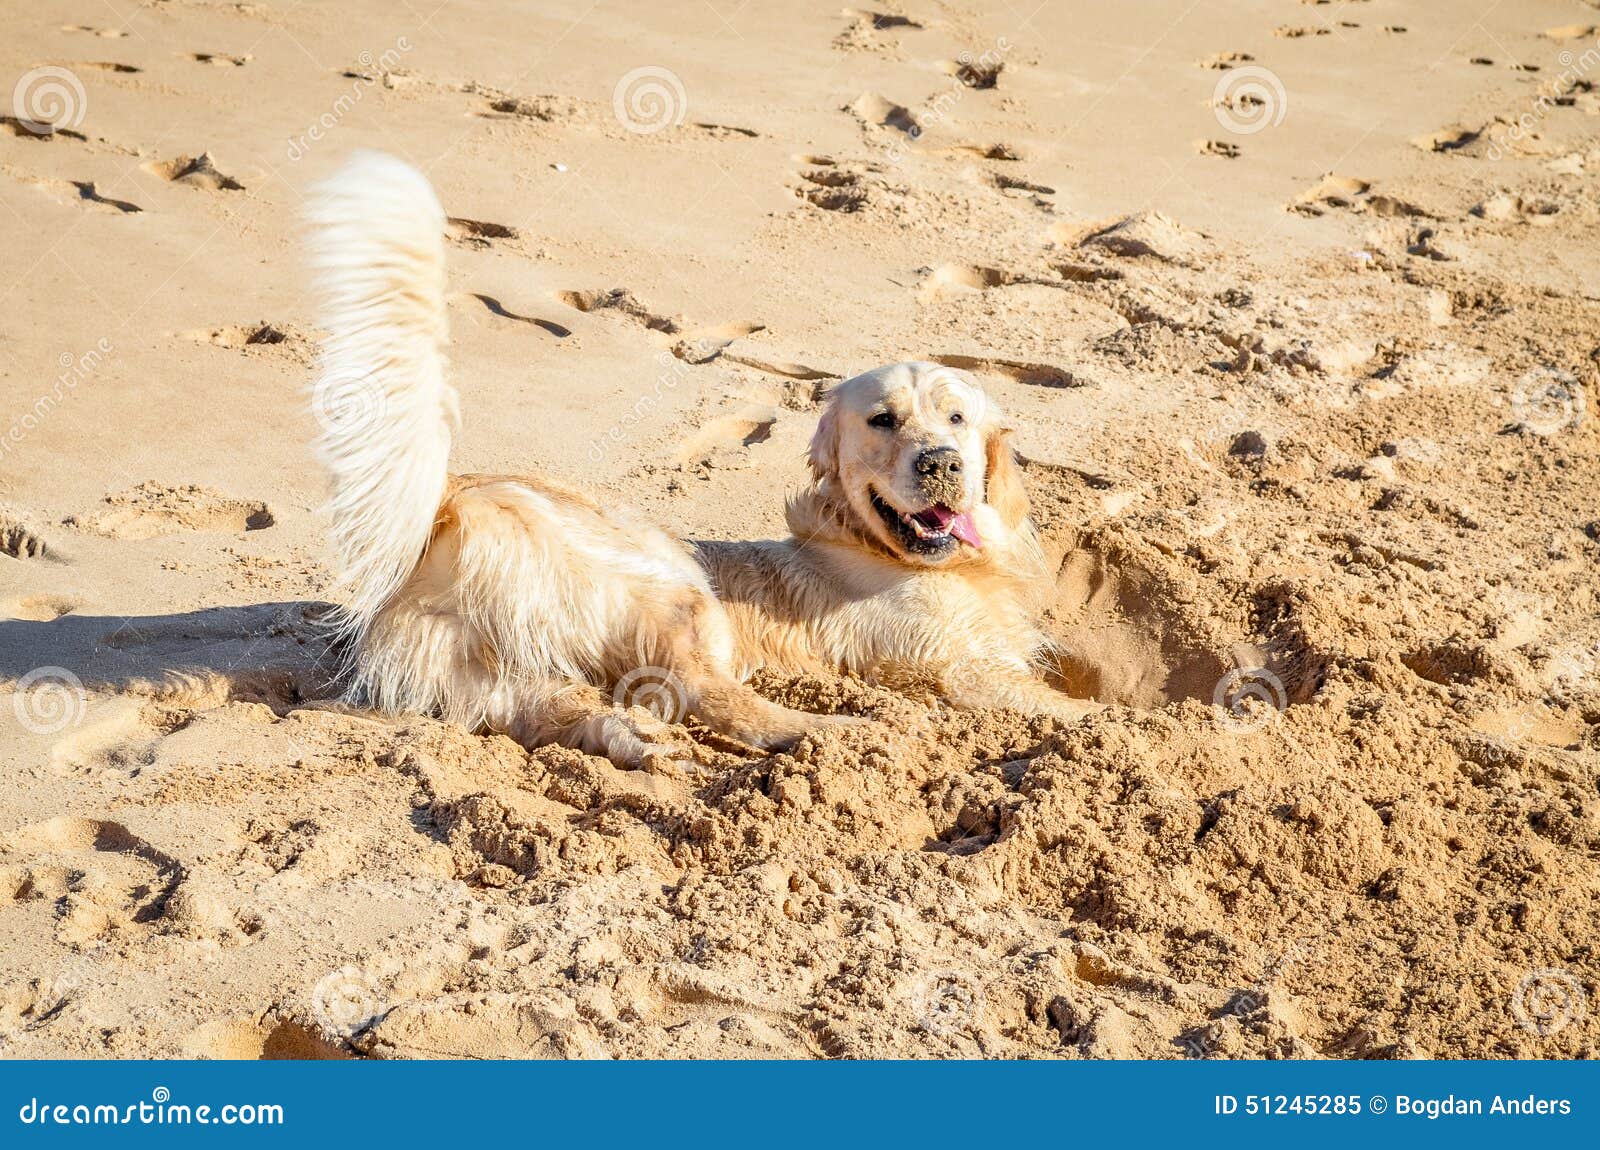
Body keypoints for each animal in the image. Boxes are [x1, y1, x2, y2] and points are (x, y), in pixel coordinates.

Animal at [302, 150, 1088, 764]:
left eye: (957, 418)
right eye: (883, 420)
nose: (940, 463)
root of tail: (447, 500)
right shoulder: (957, 670)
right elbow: (1088, 711)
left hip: (501, 675)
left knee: (597, 711)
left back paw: (644, 747)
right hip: (672, 584)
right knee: (708, 691)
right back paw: (843, 731)